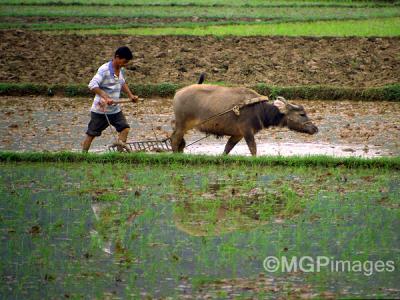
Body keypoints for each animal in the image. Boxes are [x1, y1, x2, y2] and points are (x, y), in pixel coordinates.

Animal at [170, 76, 318, 156]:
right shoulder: (247, 131)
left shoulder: (238, 134)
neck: (259, 110)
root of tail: (177, 93)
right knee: (175, 140)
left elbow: (227, 148)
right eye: (302, 114)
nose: (315, 128)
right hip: (182, 124)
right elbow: (253, 149)